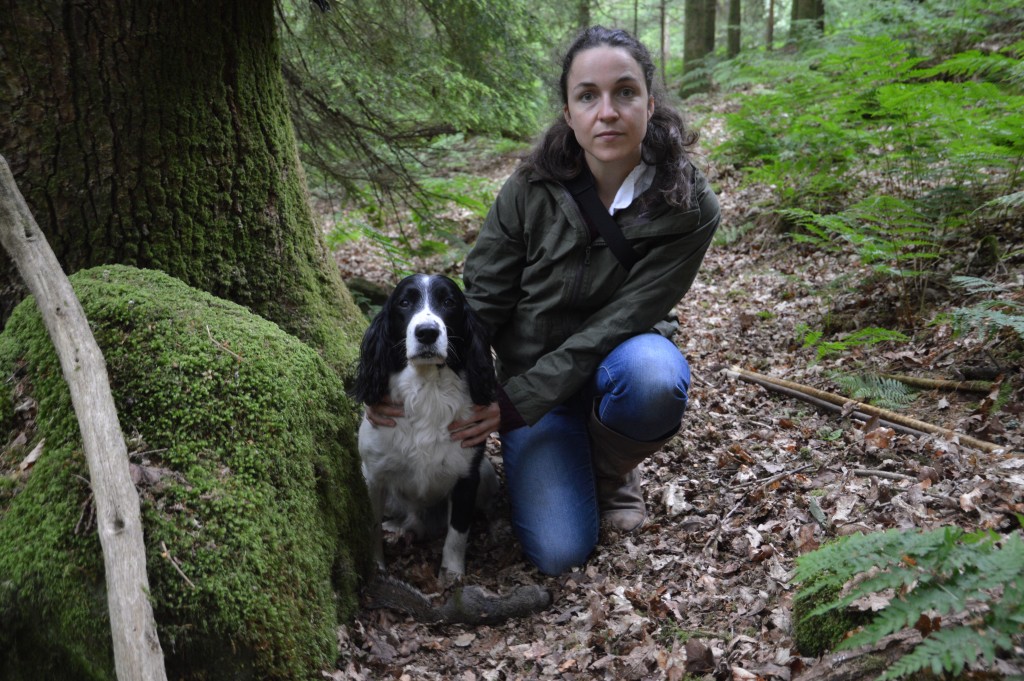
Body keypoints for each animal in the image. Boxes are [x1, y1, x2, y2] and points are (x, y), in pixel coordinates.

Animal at [352, 272, 499, 577]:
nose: (427, 332)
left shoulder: (467, 475)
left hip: (486, 471)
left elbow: (457, 533)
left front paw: (451, 574)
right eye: (405, 302)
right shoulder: (373, 475)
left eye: (449, 302)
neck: (428, 389)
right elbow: (371, 525)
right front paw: (376, 565)